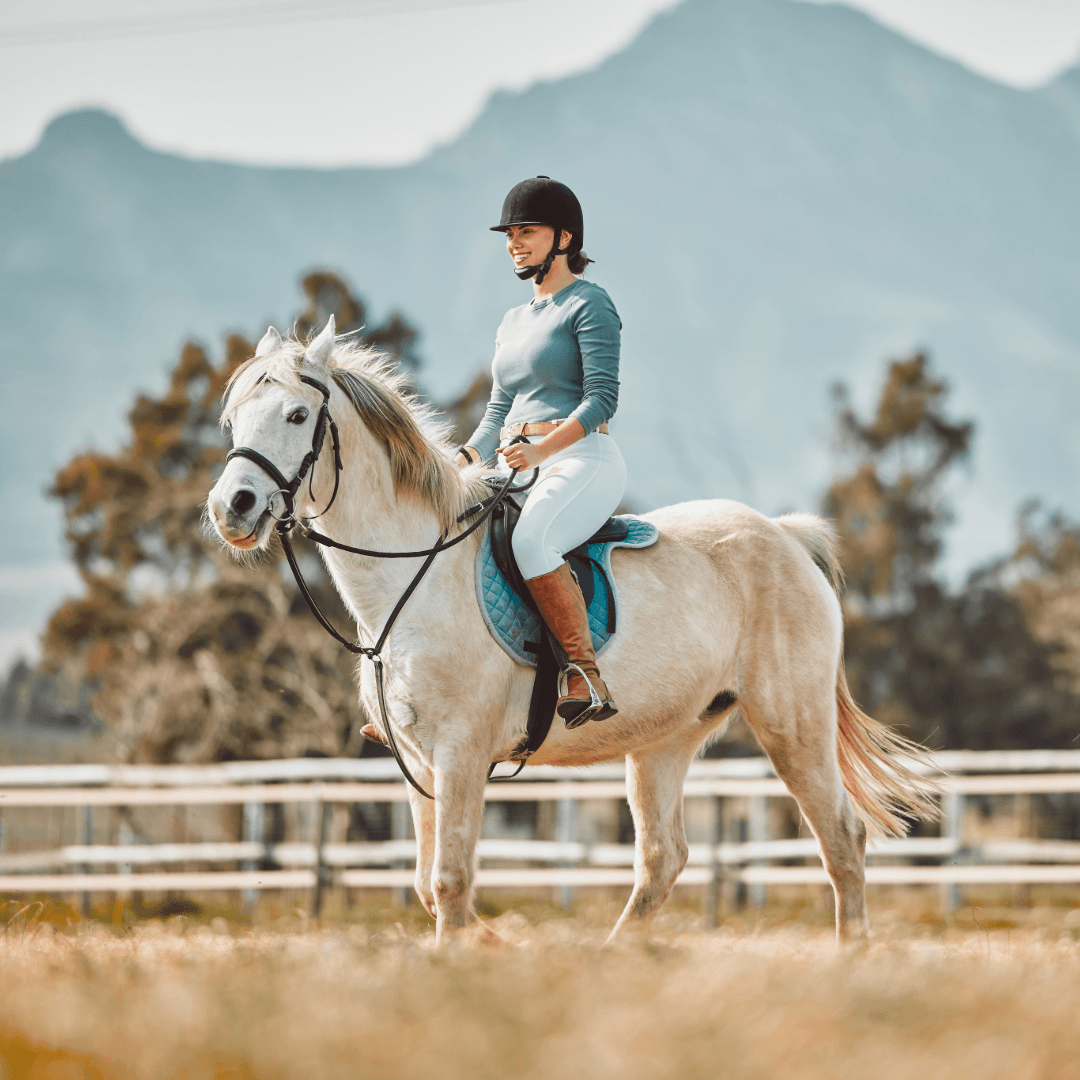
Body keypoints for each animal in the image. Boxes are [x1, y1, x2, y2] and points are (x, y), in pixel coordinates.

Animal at [207, 318, 939, 944]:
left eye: (297, 416)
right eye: (235, 419)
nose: (230, 507)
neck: (414, 575)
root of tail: (785, 536)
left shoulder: (461, 754)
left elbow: (449, 883)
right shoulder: (419, 761)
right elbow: (427, 886)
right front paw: (495, 944)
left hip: (791, 723)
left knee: (841, 838)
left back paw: (850, 960)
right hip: (665, 739)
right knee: (663, 859)